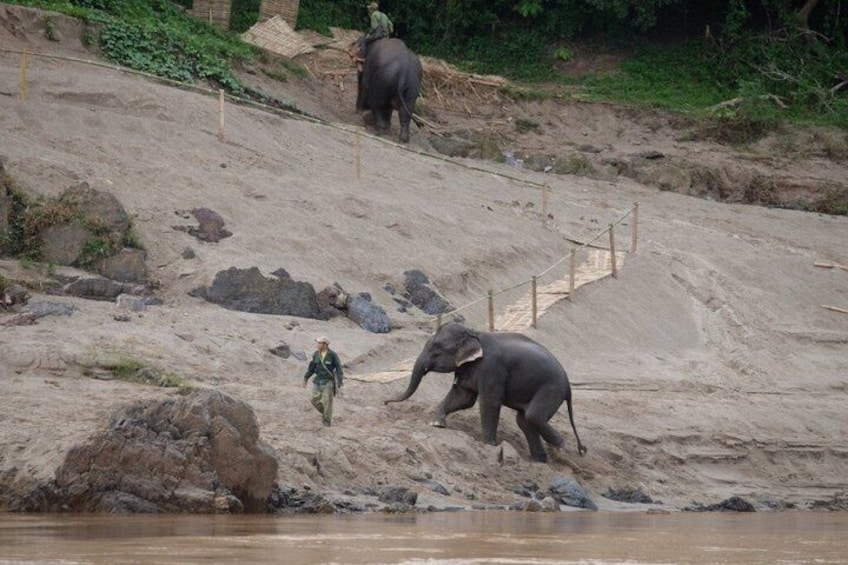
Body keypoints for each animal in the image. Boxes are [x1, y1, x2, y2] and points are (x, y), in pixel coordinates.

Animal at [384, 322, 587, 462]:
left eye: (436, 350)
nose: (385, 402)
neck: (474, 333)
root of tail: (569, 386)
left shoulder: (492, 368)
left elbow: (489, 402)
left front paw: (489, 444)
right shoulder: (467, 368)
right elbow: (462, 397)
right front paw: (436, 424)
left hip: (551, 388)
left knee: (533, 416)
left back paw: (560, 448)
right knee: (524, 421)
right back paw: (539, 460)